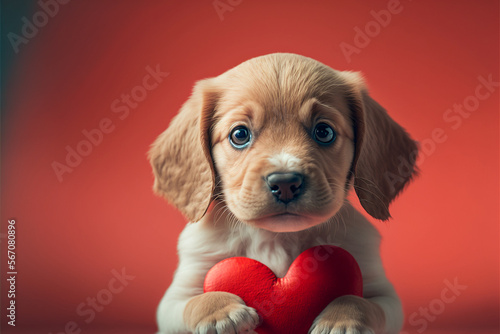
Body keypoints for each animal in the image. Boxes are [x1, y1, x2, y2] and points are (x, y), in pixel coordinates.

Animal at [151, 53, 418, 332]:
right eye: (239, 134)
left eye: (324, 132)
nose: (286, 183)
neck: (277, 238)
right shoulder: (177, 294)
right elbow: (192, 303)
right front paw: (220, 313)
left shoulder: (384, 294)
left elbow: (360, 303)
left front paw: (341, 319)